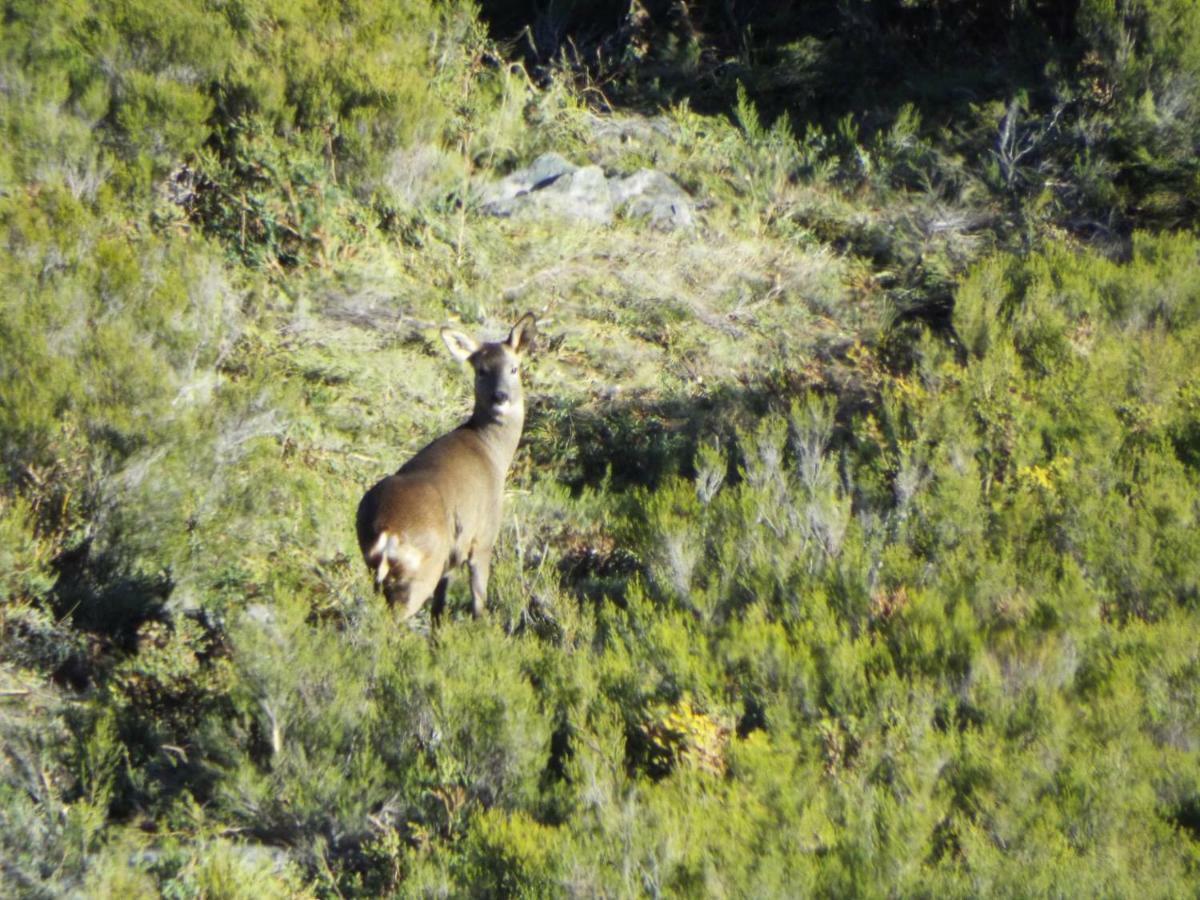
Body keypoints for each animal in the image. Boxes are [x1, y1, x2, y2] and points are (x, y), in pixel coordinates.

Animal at [352, 314, 537, 624]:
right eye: (481, 370)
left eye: (514, 367)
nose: (500, 397)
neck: (492, 451)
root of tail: (387, 530)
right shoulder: (483, 538)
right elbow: (478, 601)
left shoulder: (452, 558)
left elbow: (440, 607)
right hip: (421, 571)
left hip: (378, 567)